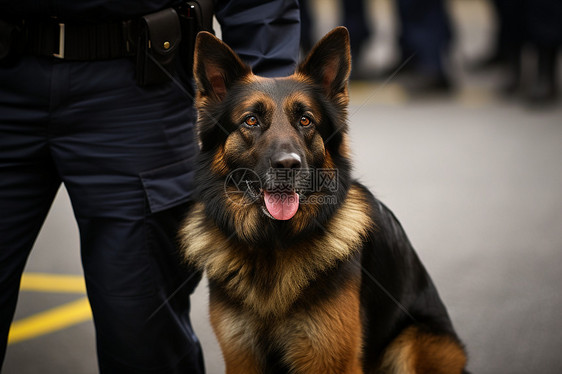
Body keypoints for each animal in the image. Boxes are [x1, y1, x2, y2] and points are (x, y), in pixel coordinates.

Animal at [180, 27, 468, 372]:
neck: (272, 247)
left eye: (306, 120)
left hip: (413, 342)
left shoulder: (329, 358)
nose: (288, 165)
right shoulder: (242, 357)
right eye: (251, 120)